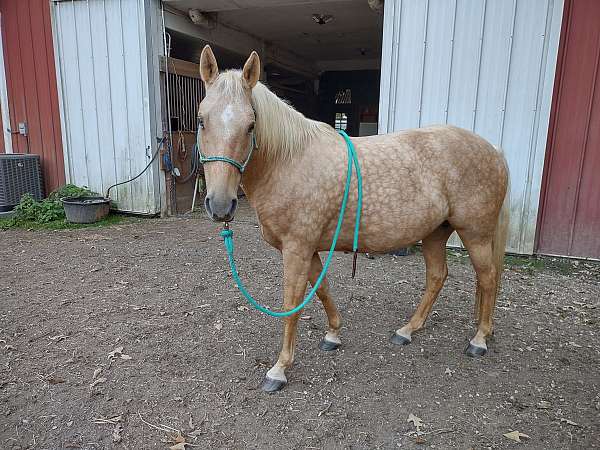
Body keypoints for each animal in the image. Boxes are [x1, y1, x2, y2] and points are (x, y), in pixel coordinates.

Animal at [199, 44, 508, 392]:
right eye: (201, 121)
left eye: (251, 125)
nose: (220, 205)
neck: (289, 161)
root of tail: (494, 150)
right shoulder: (309, 249)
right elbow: (322, 289)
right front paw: (333, 334)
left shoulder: (296, 249)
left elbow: (292, 304)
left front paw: (279, 369)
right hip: (435, 232)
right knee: (437, 277)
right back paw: (407, 330)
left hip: (476, 233)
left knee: (488, 278)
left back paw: (479, 339)